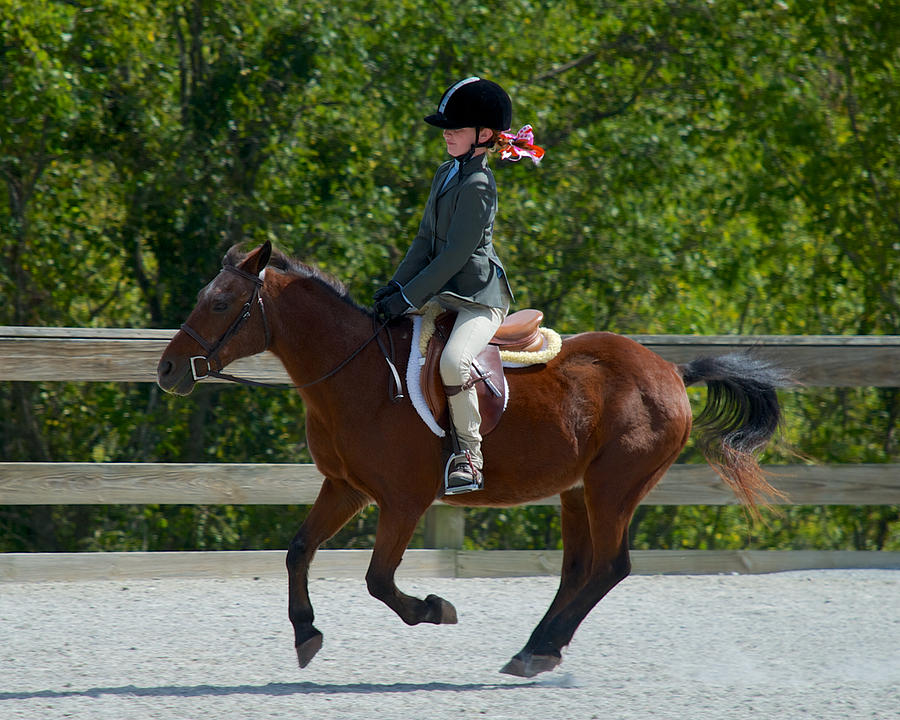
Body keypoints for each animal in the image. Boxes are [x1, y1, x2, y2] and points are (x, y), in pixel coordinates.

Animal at [156, 240, 788, 676]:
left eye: (220, 303)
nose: (166, 370)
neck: (357, 372)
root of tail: (672, 373)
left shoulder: (403, 501)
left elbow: (379, 580)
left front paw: (435, 609)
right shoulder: (345, 488)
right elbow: (297, 551)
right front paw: (305, 634)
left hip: (613, 488)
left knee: (610, 567)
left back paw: (538, 652)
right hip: (577, 491)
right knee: (579, 570)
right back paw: (536, 648)